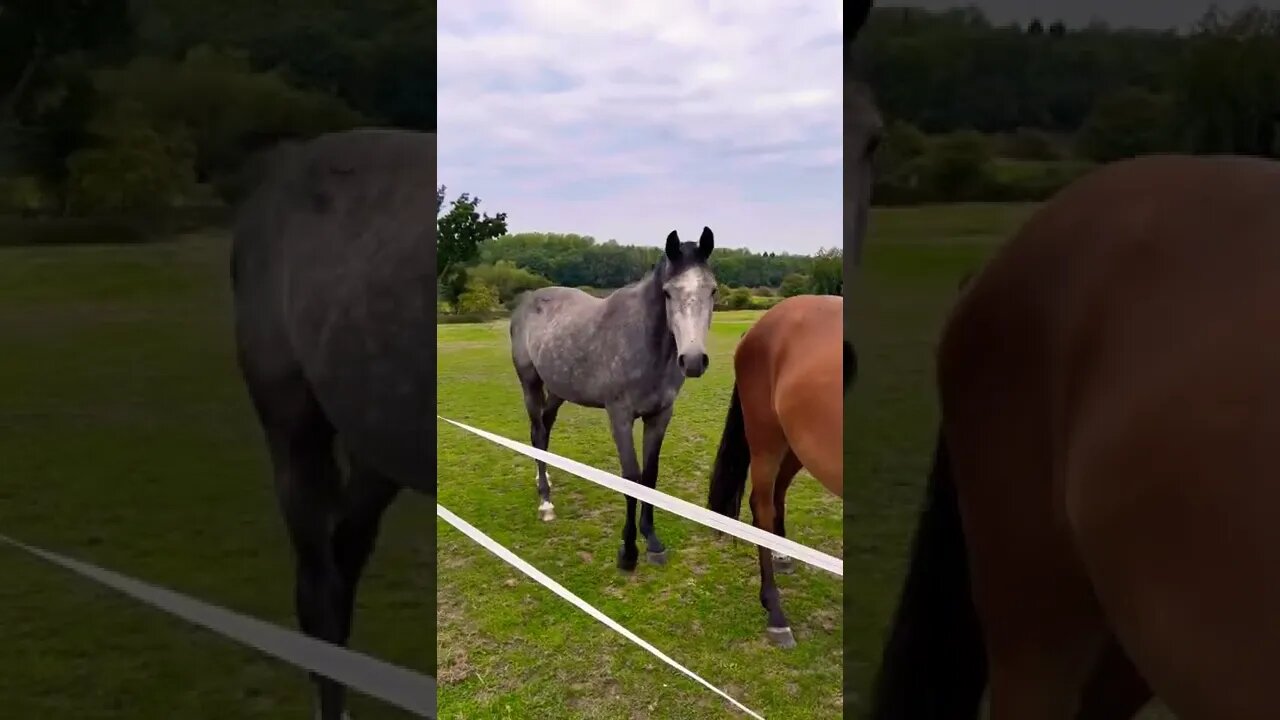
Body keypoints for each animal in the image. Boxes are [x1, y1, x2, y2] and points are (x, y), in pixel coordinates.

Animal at [512, 226, 721, 568]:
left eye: (712, 291)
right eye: (668, 293)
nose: (692, 361)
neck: (645, 343)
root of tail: (528, 301)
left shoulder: (660, 415)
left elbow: (650, 476)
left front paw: (652, 541)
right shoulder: (620, 416)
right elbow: (631, 477)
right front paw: (628, 550)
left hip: (557, 390)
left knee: (544, 431)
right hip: (530, 383)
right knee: (536, 431)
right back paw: (545, 503)